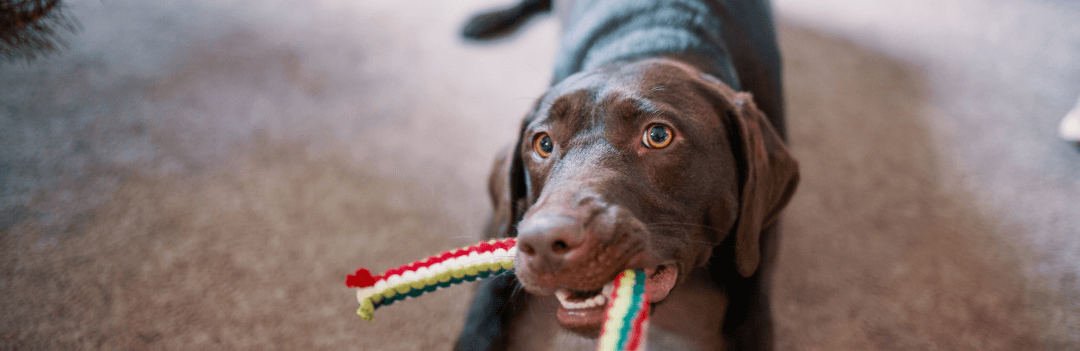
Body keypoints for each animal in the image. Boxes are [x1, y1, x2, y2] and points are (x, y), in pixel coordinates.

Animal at [451, 1, 799, 347]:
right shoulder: (510, 217)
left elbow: (752, 301)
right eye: (543, 143)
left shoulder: (759, 232)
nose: (544, 241)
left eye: (658, 135)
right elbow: (488, 296)